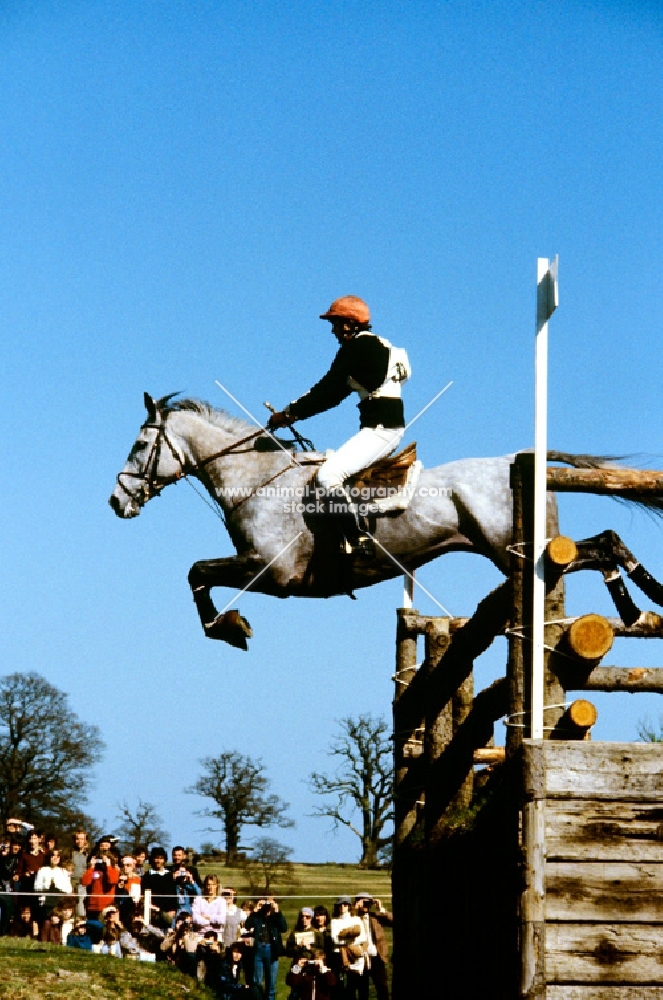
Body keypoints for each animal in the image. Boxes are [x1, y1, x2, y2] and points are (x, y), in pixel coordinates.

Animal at [109, 390, 663, 648]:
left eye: (138, 445)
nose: (117, 502)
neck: (257, 480)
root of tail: (520, 459)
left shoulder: (272, 573)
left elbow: (196, 572)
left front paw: (227, 627)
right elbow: (197, 573)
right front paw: (228, 625)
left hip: (514, 552)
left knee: (597, 547)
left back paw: (639, 606)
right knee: (606, 541)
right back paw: (640, 610)